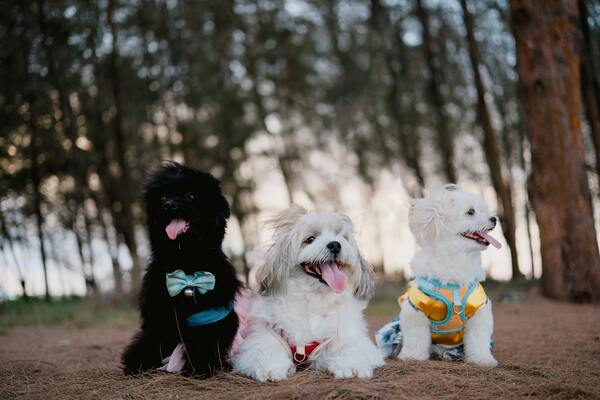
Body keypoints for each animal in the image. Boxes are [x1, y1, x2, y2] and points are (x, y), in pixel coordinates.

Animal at [120, 161, 240, 376]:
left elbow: (205, 344)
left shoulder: (209, 319)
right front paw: (137, 363)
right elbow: (149, 344)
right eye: (163, 196)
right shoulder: (157, 321)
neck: (185, 264)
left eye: (191, 195)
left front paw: (200, 367)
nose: (168, 205)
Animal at [232, 206, 382, 382]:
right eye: (310, 239)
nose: (335, 245)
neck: (314, 299)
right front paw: (270, 368)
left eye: (343, 238)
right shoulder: (264, 336)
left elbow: (351, 348)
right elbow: (263, 351)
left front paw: (351, 366)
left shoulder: (348, 337)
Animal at [390, 184, 496, 366]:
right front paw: (412, 356)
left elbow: (478, 340)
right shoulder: (415, 310)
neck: (455, 259)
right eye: (470, 212)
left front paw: (482, 359)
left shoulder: (479, 311)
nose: (494, 218)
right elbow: (416, 338)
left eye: (484, 210)